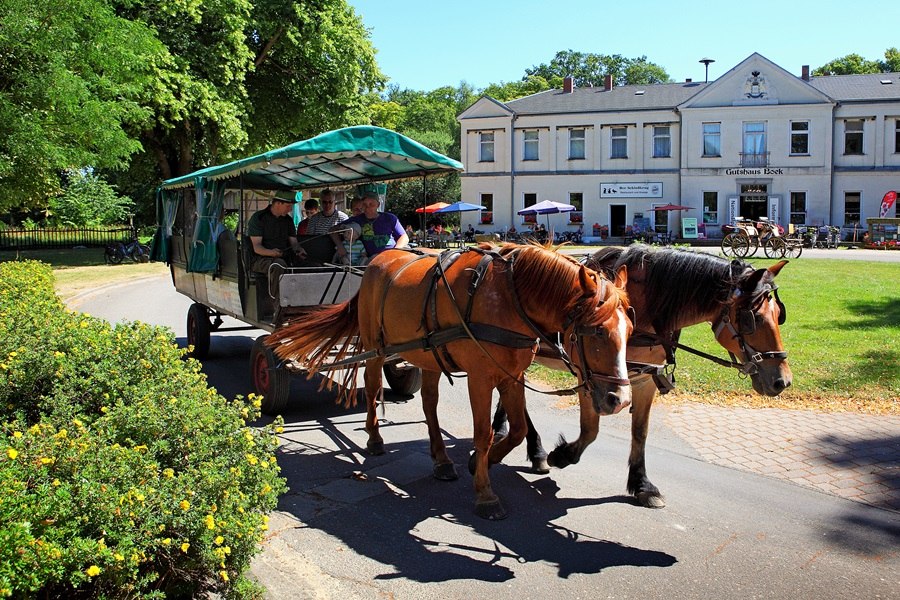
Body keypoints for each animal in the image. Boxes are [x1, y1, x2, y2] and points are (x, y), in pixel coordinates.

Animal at [268, 244, 632, 520]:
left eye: (629, 330)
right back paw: (374, 438)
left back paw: (441, 459)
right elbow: (483, 434)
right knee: (372, 388)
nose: (620, 400)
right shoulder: (481, 378)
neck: (509, 297)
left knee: (429, 404)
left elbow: (516, 430)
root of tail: (377, 260)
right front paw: (485, 493)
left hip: (427, 353)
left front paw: (485, 461)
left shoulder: (512, 375)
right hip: (374, 346)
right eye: (598, 332)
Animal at [488, 246, 792, 508]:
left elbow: (640, 431)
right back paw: (536, 450)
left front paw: (642, 484)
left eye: (779, 315)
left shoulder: (645, 378)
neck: (645, 305)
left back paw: (507, 431)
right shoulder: (591, 375)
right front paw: (562, 454)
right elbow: (590, 430)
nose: (783, 380)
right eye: (753, 318)